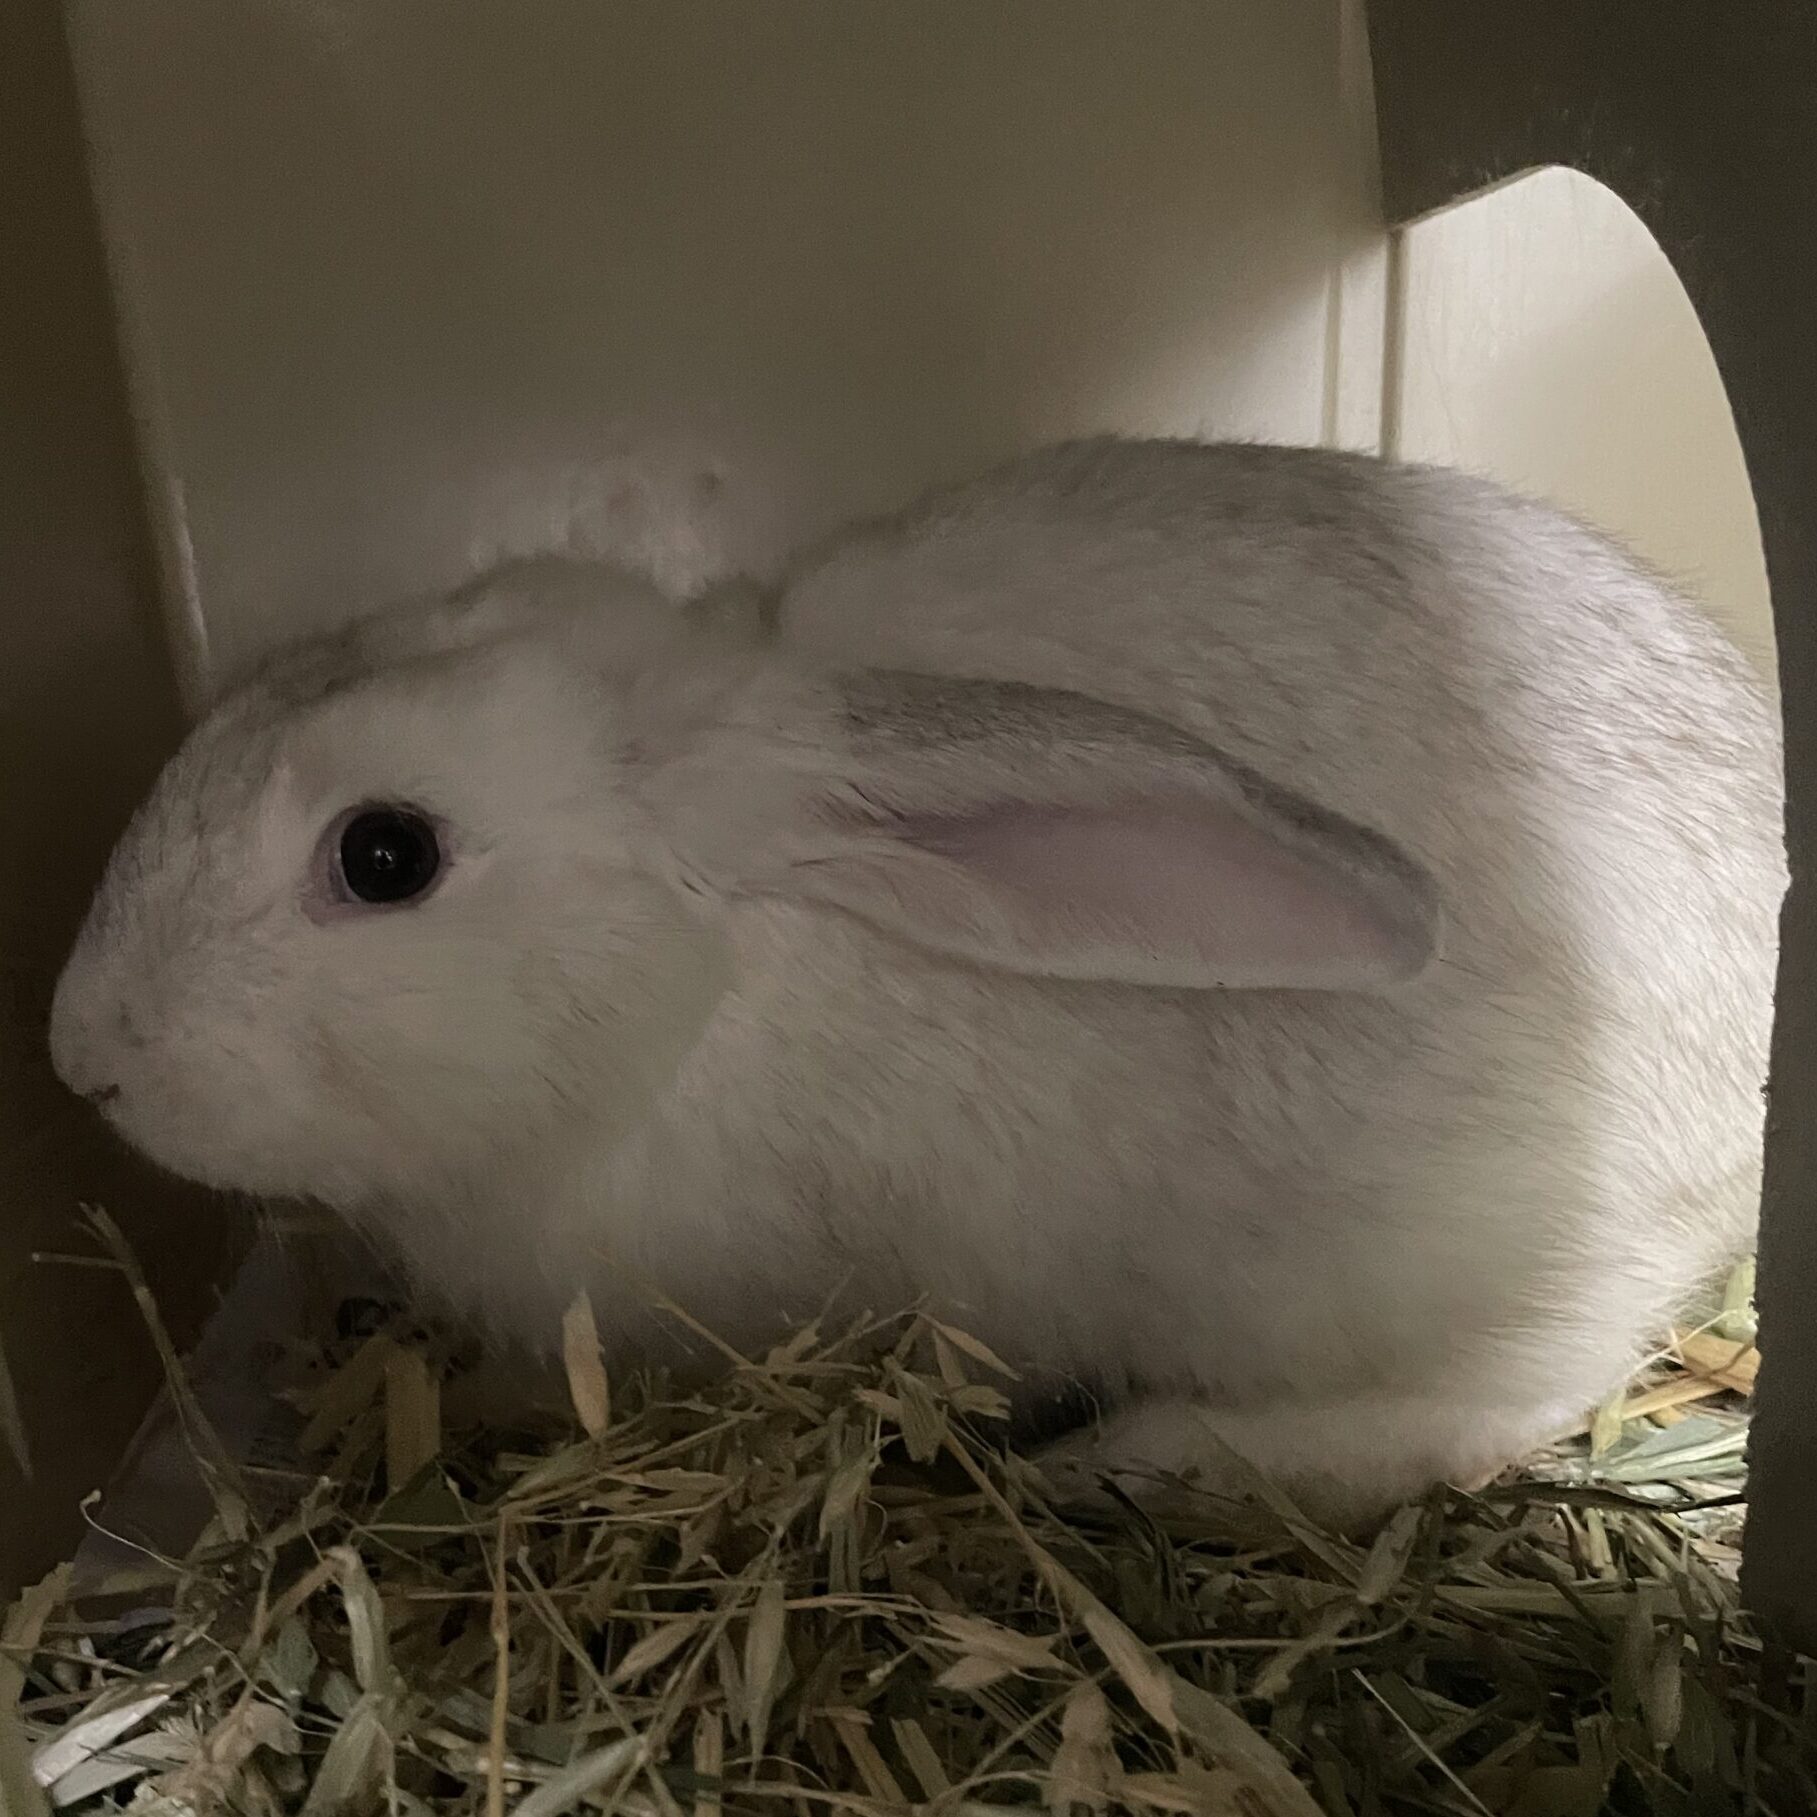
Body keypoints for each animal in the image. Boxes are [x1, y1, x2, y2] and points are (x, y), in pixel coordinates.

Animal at [49, 438, 1784, 1526]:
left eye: (386, 854)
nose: (83, 1055)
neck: (701, 989)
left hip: (1451, 1267)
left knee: (1515, 1384)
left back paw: (1149, 1459)